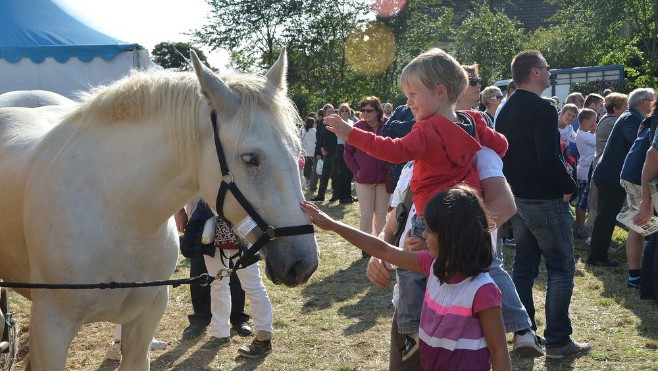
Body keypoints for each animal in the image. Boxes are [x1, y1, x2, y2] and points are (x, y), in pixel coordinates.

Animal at [0, 50, 318, 371]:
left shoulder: (144, 321)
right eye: (250, 158)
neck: (117, 210)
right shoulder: (51, 329)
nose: (304, 263)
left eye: (297, 151)